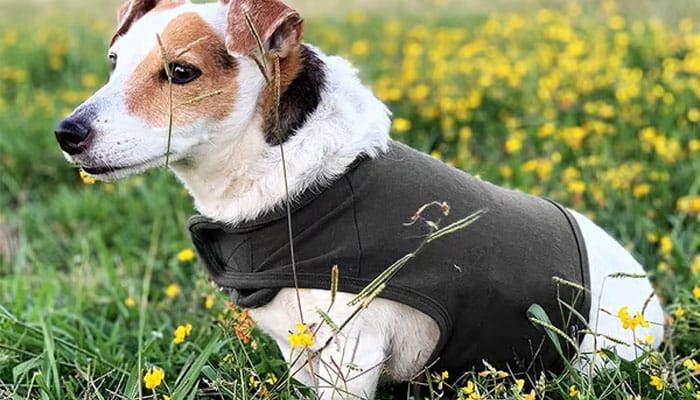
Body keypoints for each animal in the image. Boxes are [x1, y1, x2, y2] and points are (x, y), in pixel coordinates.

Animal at [54, 1, 660, 398]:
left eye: (181, 71)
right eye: (114, 62)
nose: (67, 133)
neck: (299, 182)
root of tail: (650, 299)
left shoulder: (354, 351)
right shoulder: (301, 349)